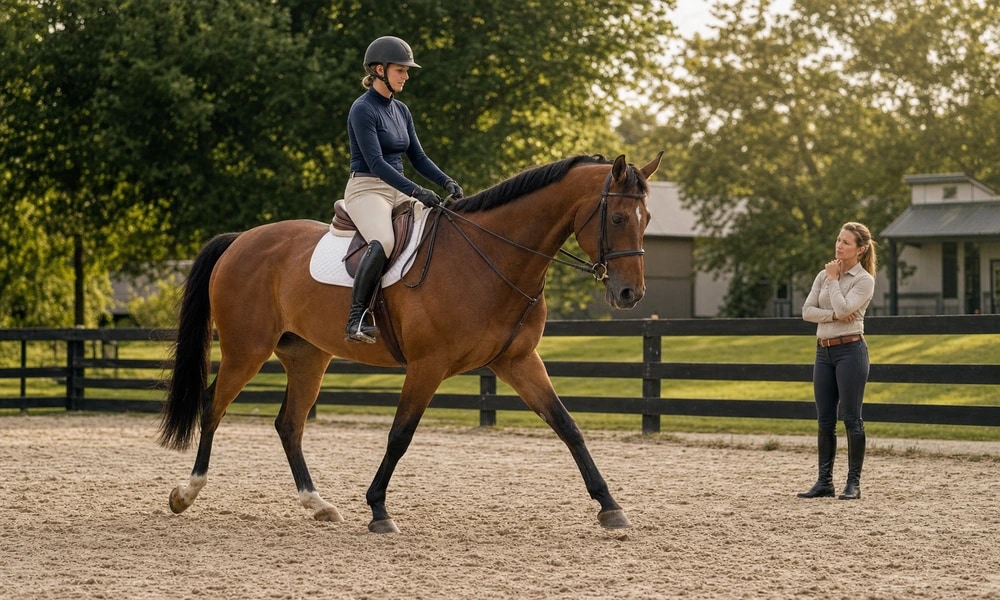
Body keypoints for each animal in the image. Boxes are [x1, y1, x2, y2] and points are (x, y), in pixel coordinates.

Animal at [158, 152, 662, 533]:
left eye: (647, 219)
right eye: (618, 216)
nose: (630, 294)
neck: (491, 255)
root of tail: (240, 239)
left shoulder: (518, 361)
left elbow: (567, 426)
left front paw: (610, 506)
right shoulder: (427, 365)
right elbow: (400, 435)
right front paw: (379, 510)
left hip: (307, 357)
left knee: (289, 424)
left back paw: (318, 505)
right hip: (247, 350)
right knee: (213, 405)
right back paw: (186, 493)